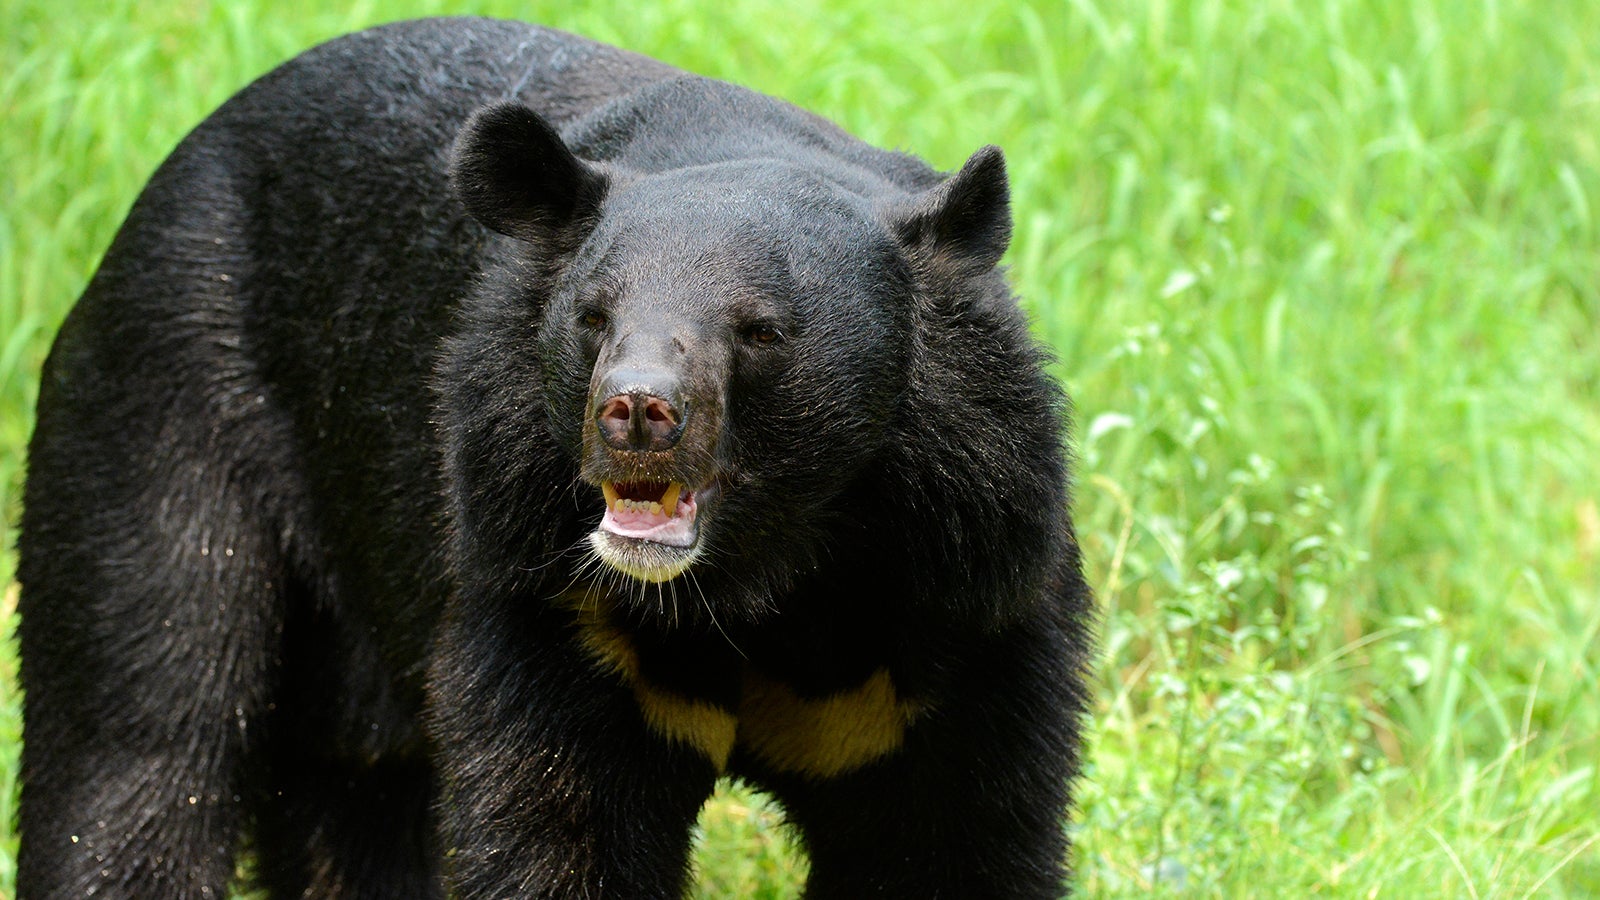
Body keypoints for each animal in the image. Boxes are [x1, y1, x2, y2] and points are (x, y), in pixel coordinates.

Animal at [17, 16, 1095, 899]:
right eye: (593, 316)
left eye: (759, 331)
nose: (635, 413)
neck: (764, 570)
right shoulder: (544, 589)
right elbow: (557, 829)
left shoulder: (965, 602)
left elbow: (953, 841)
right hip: (169, 411)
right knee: (142, 728)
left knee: (346, 800)